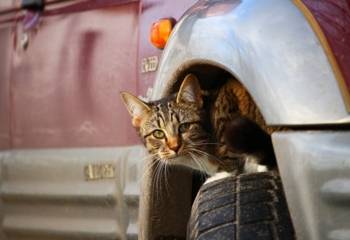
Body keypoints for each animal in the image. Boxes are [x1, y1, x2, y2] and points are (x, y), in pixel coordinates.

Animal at [120, 74, 276, 177]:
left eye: (184, 127)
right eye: (158, 133)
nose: (174, 147)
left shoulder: (227, 103)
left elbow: (228, 151)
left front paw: (221, 174)